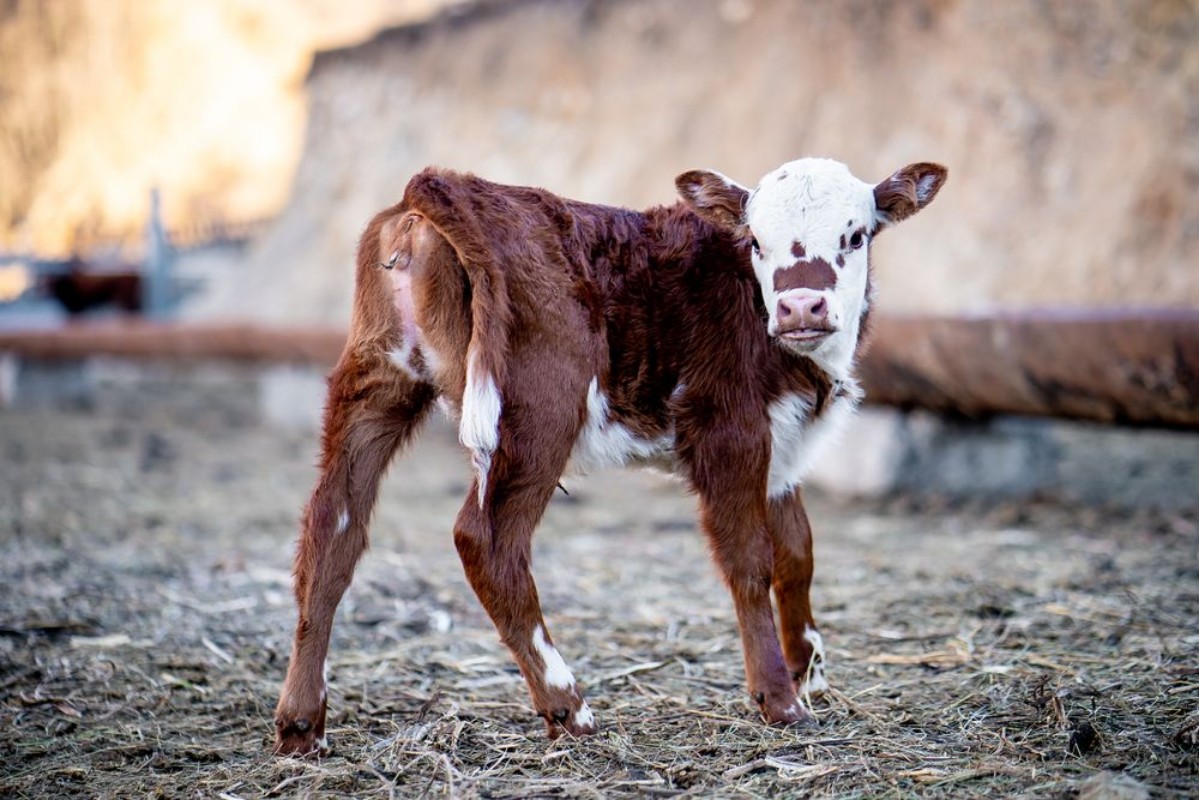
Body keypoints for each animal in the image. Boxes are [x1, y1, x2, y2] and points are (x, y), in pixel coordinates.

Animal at [273, 157, 946, 755]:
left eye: (855, 235)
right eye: (756, 240)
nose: (800, 306)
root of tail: (447, 187)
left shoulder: (781, 445)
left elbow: (797, 554)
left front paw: (813, 676)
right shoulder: (729, 429)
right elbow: (750, 559)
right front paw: (781, 701)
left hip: (375, 380)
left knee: (332, 531)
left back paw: (302, 726)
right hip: (537, 407)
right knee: (485, 541)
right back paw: (569, 708)